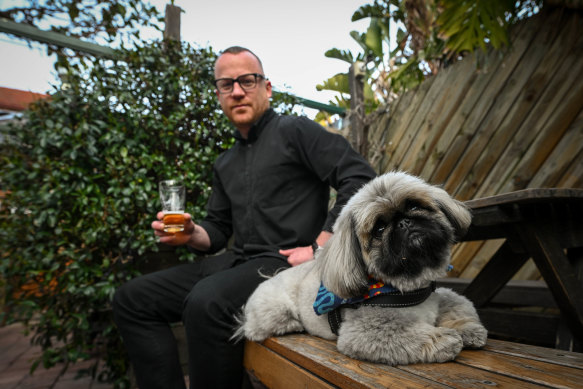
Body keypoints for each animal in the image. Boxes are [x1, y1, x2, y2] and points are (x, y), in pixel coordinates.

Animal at [233, 171, 488, 366]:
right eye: (379, 229)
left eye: (414, 205)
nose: (404, 222)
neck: (407, 287)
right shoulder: (365, 330)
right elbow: (410, 332)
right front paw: (444, 338)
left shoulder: (439, 295)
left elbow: (457, 305)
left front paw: (467, 329)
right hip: (275, 311)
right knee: (255, 329)